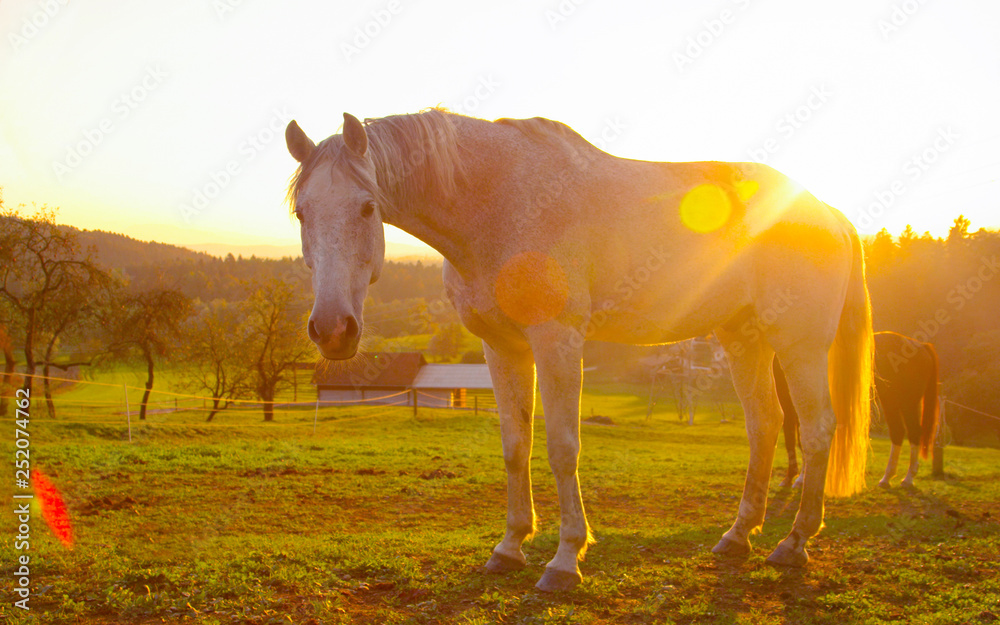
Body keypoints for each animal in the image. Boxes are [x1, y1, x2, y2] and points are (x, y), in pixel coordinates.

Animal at [286, 107, 872, 588]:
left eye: (367, 207)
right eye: (301, 213)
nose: (333, 329)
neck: (497, 202)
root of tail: (827, 211)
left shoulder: (558, 341)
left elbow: (563, 447)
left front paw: (566, 560)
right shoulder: (502, 348)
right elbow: (515, 446)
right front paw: (509, 548)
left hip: (799, 345)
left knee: (817, 429)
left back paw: (793, 544)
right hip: (743, 340)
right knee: (764, 425)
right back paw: (737, 537)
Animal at [780, 332, 936, 488]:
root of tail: (920, 345)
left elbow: (798, 440)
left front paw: (797, 479)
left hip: (905, 402)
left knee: (911, 432)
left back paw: (907, 478)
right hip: (893, 401)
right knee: (899, 432)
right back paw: (889, 478)